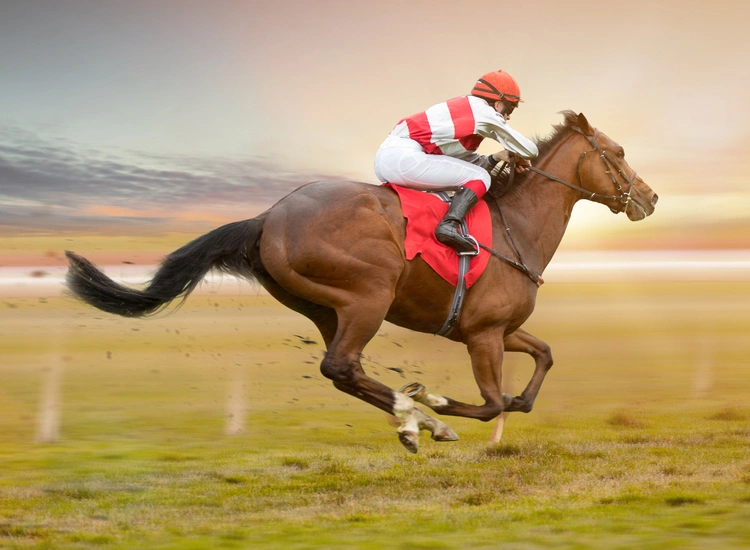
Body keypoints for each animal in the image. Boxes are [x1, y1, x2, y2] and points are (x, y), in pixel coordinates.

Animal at [65, 111, 658, 453]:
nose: (650, 198)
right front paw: (440, 405)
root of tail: (268, 217)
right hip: (368, 296)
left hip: (326, 309)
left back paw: (412, 419)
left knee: (343, 372)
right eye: (619, 153)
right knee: (342, 366)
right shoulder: (484, 334)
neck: (518, 226)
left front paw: (451, 409)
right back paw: (421, 418)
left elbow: (541, 363)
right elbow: (493, 402)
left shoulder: (497, 329)